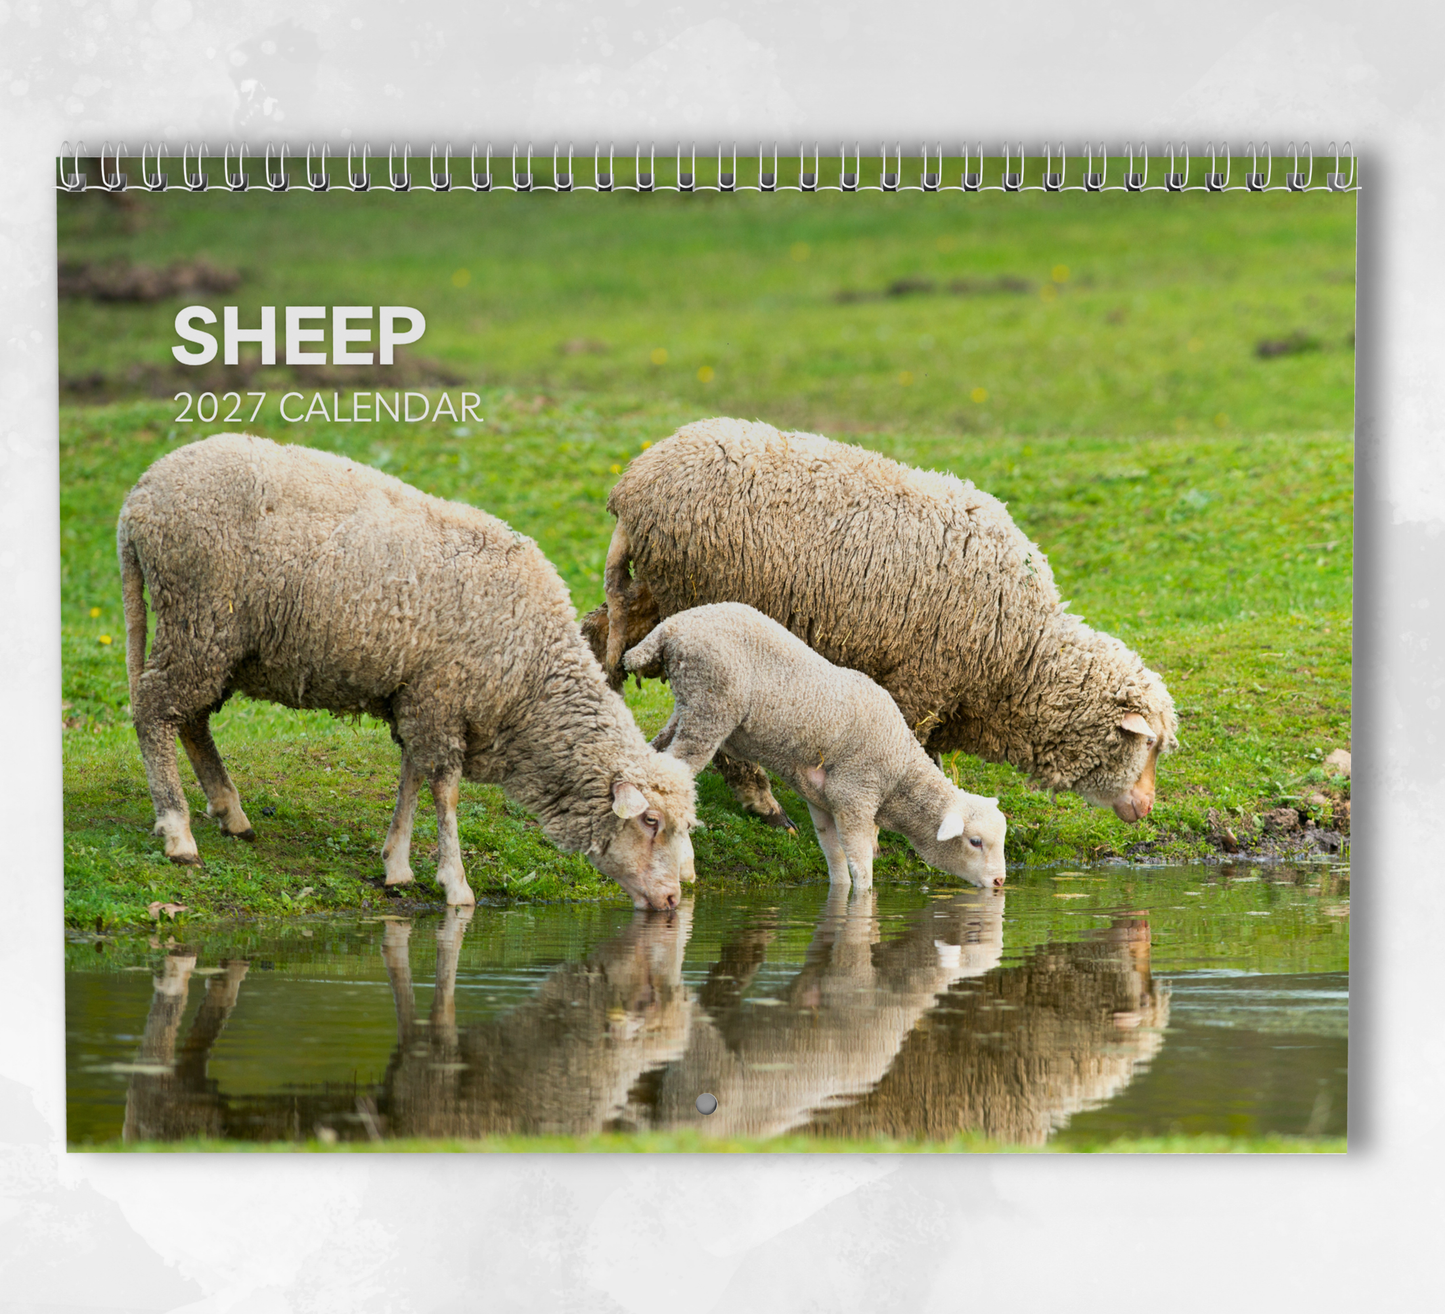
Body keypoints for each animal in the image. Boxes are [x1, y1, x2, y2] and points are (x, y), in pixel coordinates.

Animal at [116, 433, 696, 911]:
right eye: (650, 822)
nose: (672, 900)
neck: (530, 682)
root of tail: (140, 496)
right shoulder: (442, 697)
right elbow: (445, 789)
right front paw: (455, 883)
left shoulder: (419, 696)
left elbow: (411, 777)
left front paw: (396, 864)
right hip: (199, 615)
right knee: (154, 711)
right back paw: (178, 832)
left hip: (216, 640)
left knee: (189, 718)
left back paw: (230, 812)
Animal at [585, 416, 1178, 830]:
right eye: (1145, 745)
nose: (1146, 808)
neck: (1016, 657)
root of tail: (633, 487)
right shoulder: (924, 679)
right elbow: (912, 748)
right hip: (701, 605)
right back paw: (763, 803)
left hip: (654, 593)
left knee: (598, 634)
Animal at [624, 602, 1008, 888]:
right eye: (975, 842)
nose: (1001, 882)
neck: (898, 772)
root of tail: (671, 627)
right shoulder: (855, 799)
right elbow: (862, 871)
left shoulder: (822, 802)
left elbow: (835, 862)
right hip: (710, 706)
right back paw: (683, 864)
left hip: (687, 706)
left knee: (653, 759)